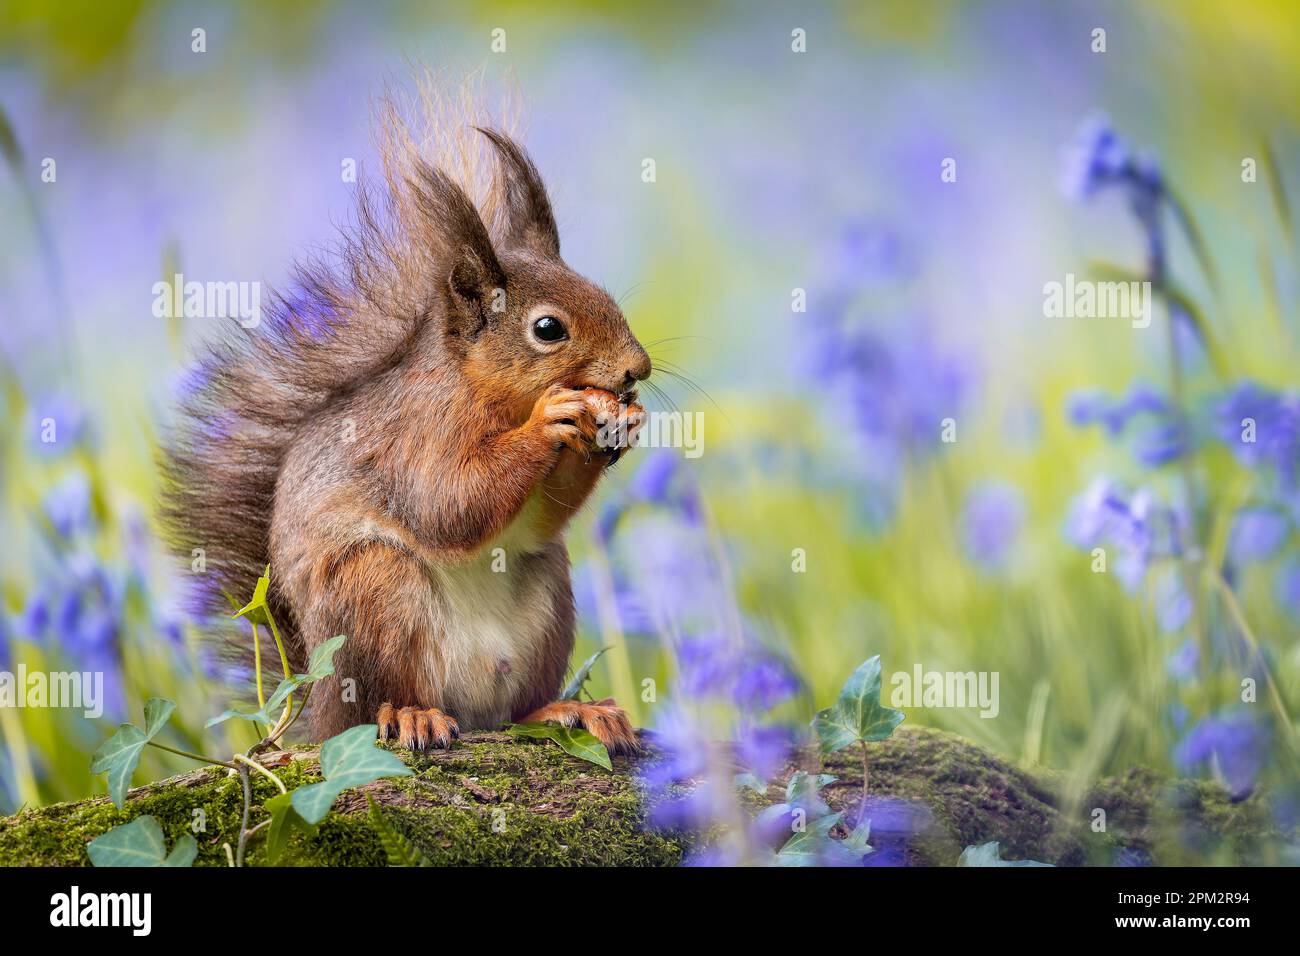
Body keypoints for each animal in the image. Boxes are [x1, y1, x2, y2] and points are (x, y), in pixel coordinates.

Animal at [161, 82, 644, 754]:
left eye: (604, 295)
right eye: (549, 329)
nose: (638, 368)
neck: (484, 394)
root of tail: (317, 711)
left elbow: (538, 515)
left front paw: (619, 428)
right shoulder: (413, 437)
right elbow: (449, 502)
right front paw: (551, 421)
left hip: (545, 591)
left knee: (517, 708)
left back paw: (568, 709)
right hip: (375, 592)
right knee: (382, 703)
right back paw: (412, 715)